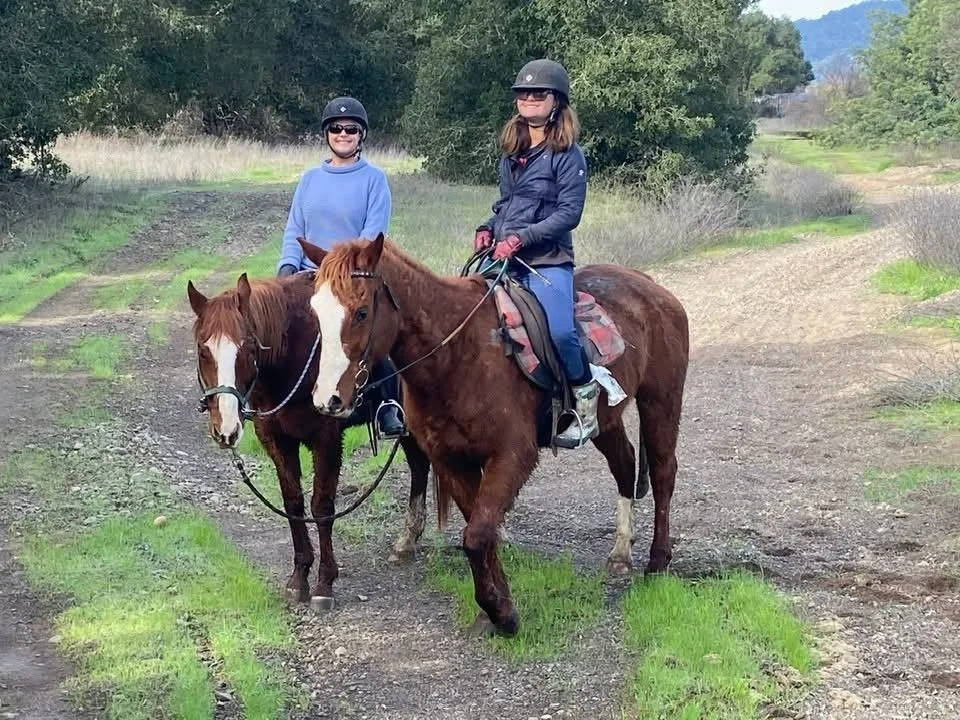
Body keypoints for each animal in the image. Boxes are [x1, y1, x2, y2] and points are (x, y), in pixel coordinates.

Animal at [186, 270, 433, 610]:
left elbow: (322, 506)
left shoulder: (326, 439)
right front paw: (298, 577)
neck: (294, 358)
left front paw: (324, 583)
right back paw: (407, 541)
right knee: (420, 465)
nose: (226, 430)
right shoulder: (276, 440)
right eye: (203, 350)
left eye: (248, 348)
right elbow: (293, 502)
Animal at [298, 234, 690, 636]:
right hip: (606, 421)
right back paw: (621, 554)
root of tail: (651, 287)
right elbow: (480, 533)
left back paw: (657, 561)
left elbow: (477, 535)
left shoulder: (512, 456)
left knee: (663, 473)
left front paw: (502, 614)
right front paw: (495, 608)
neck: (457, 355)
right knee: (625, 465)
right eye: (315, 312)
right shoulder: (452, 460)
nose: (328, 399)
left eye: (361, 312)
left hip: (661, 400)